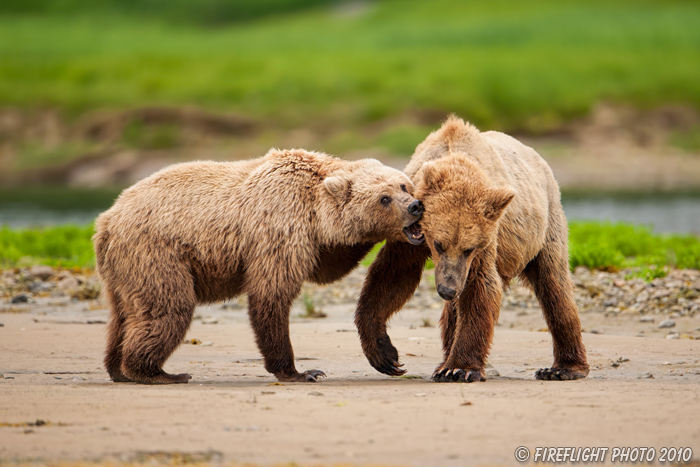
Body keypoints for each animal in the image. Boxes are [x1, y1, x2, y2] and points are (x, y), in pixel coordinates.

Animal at [90, 149, 424, 384]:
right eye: (384, 198)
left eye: (403, 185)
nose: (415, 206)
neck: (314, 206)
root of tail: (105, 221)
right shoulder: (280, 228)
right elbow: (271, 295)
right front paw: (301, 371)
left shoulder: (315, 240)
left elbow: (330, 265)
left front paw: (388, 357)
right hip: (157, 254)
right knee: (169, 307)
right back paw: (157, 372)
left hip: (122, 269)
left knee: (123, 315)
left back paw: (117, 368)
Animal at [356, 116, 592, 384]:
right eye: (438, 244)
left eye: (469, 248)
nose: (447, 289)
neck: (455, 161)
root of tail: (537, 157)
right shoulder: (410, 229)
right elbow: (393, 275)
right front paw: (384, 353)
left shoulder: (487, 238)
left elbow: (481, 287)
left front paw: (460, 369)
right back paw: (443, 361)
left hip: (545, 226)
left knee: (553, 284)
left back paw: (563, 368)